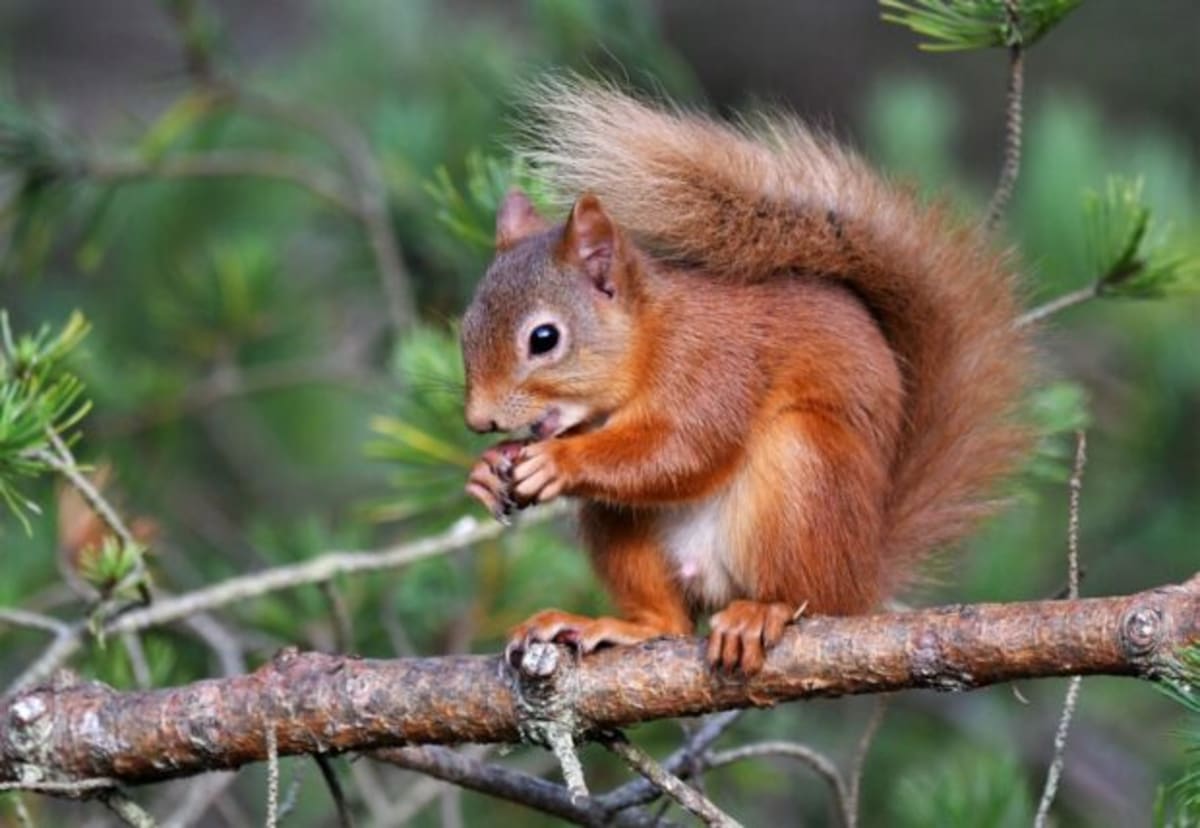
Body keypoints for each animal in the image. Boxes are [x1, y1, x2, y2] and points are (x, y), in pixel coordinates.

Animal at [460, 80, 1031, 675]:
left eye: (544, 338)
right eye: (465, 325)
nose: (479, 420)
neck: (651, 340)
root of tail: (865, 575)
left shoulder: (718, 367)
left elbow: (684, 450)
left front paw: (558, 461)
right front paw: (489, 469)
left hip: (805, 472)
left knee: (810, 597)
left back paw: (764, 612)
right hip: (621, 525)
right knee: (668, 618)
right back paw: (618, 625)